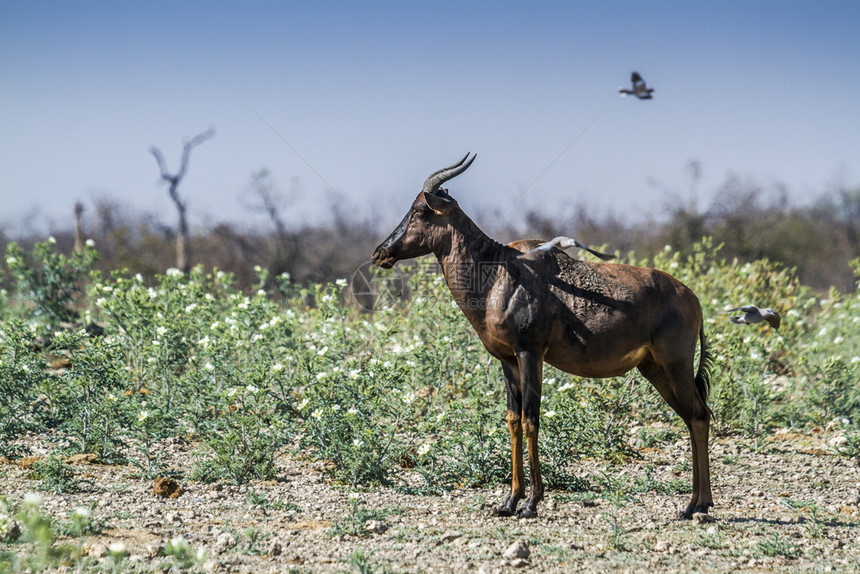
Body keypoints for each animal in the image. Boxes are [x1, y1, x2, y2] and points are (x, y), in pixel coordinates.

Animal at [372, 155, 716, 520]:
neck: (499, 272)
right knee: (691, 416)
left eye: (420, 211)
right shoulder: (507, 360)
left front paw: (531, 503)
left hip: (675, 363)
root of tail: (693, 298)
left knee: (698, 415)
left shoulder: (530, 353)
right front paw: (509, 502)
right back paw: (693, 505)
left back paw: (698, 504)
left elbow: (530, 419)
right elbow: (513, 419)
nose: (380, 253)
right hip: (653, 367)